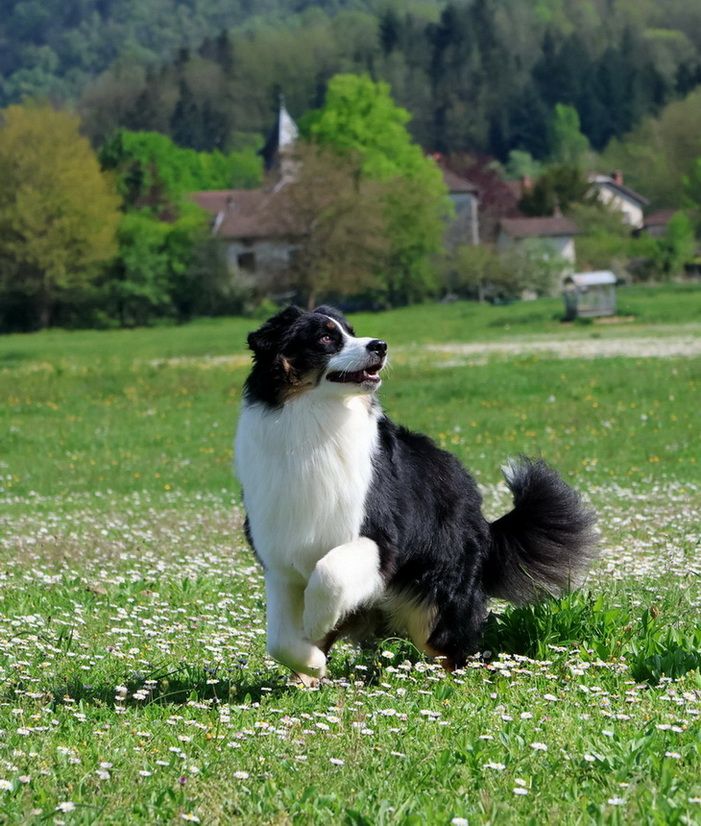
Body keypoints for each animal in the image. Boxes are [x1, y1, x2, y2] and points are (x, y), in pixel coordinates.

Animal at [235, 306, 596, 680]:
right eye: (324, 337)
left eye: (352, 331)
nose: (380, 345)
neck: (314, 421)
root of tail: (483, 519)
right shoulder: (280, 557)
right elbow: (279, 641)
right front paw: (313, 660)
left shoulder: (380, 538)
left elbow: (329, 573)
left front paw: (316, 622)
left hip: (436, 601)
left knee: (453, 651)